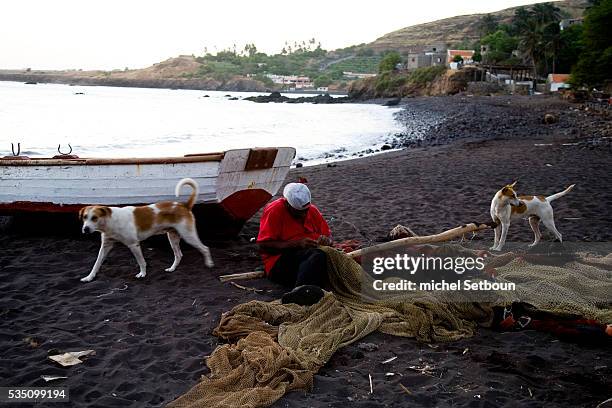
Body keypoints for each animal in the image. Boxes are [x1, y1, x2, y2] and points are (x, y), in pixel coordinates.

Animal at [79, 177, 214, 282]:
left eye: (94, 218)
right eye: (85, 217)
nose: (85, 229)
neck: (111, 221)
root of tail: (184, 205)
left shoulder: (134, 245)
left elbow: (141, 261)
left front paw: (142, 274)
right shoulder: (105, 246)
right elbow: (96, 264)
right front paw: (89, 277)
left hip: (188, 235)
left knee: (205, 248)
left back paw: (209, 264)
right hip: (173, 237)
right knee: (179, 255)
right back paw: (172, 269)